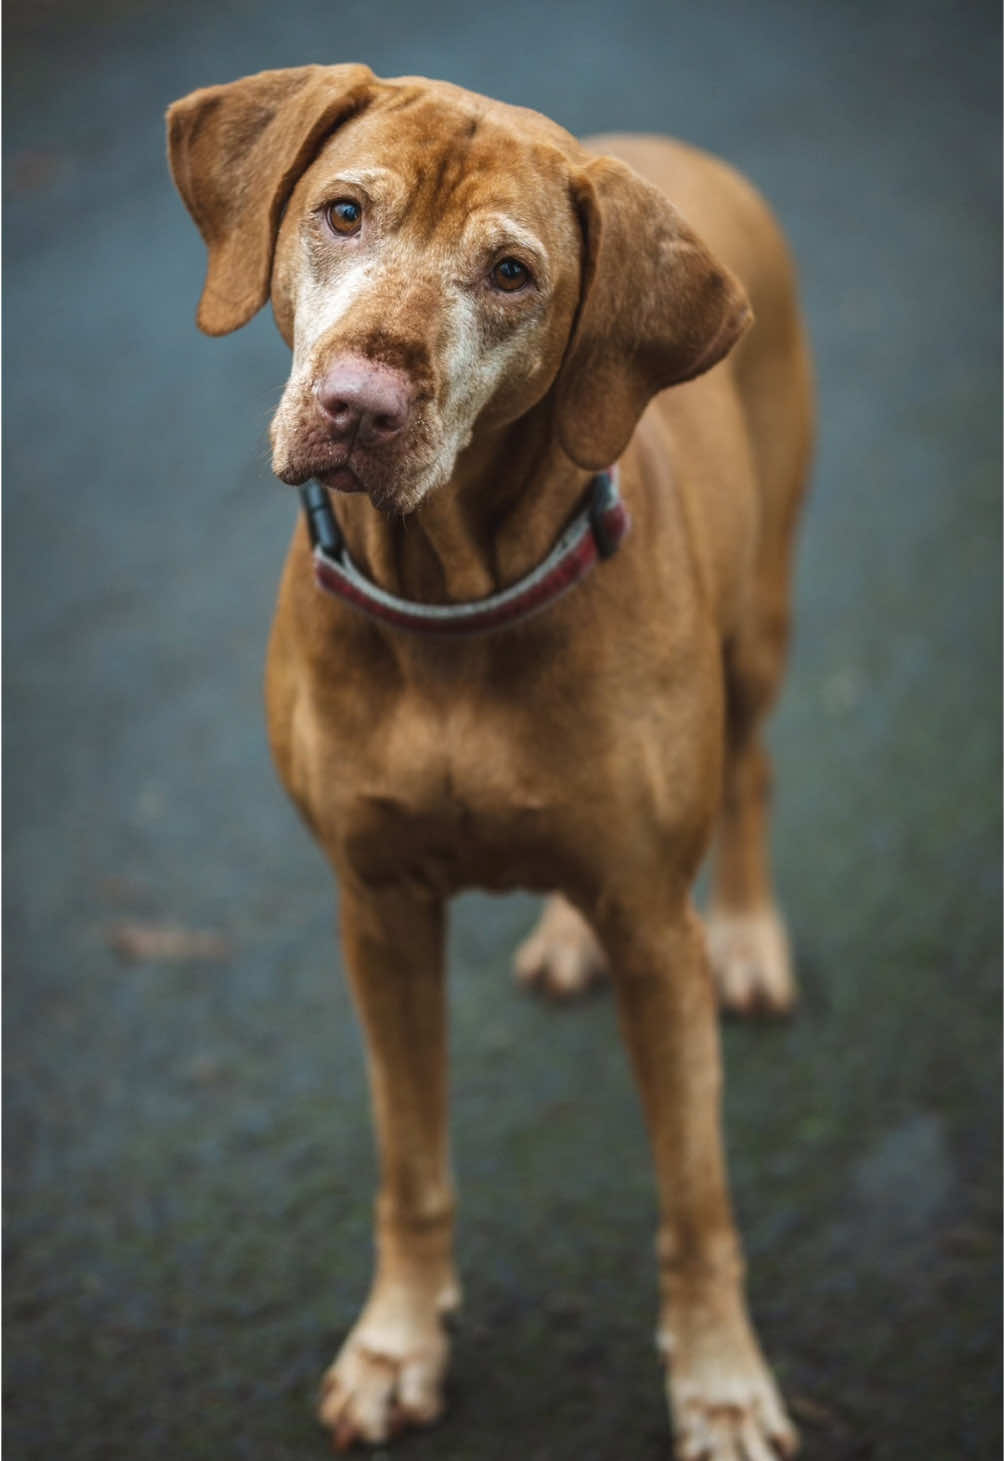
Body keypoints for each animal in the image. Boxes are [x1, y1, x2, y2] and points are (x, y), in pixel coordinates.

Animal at [168, 65, 812, 1461]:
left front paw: (721, 1382)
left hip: (761, 622)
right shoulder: (379, 913)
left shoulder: (655, 930)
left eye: (512, 273)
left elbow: (695, 1202)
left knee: (751, 770)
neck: (451, 600)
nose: (360, 407)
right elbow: (411, 1171)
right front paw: (398, 1343)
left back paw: (751, 935)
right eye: (343, 211)